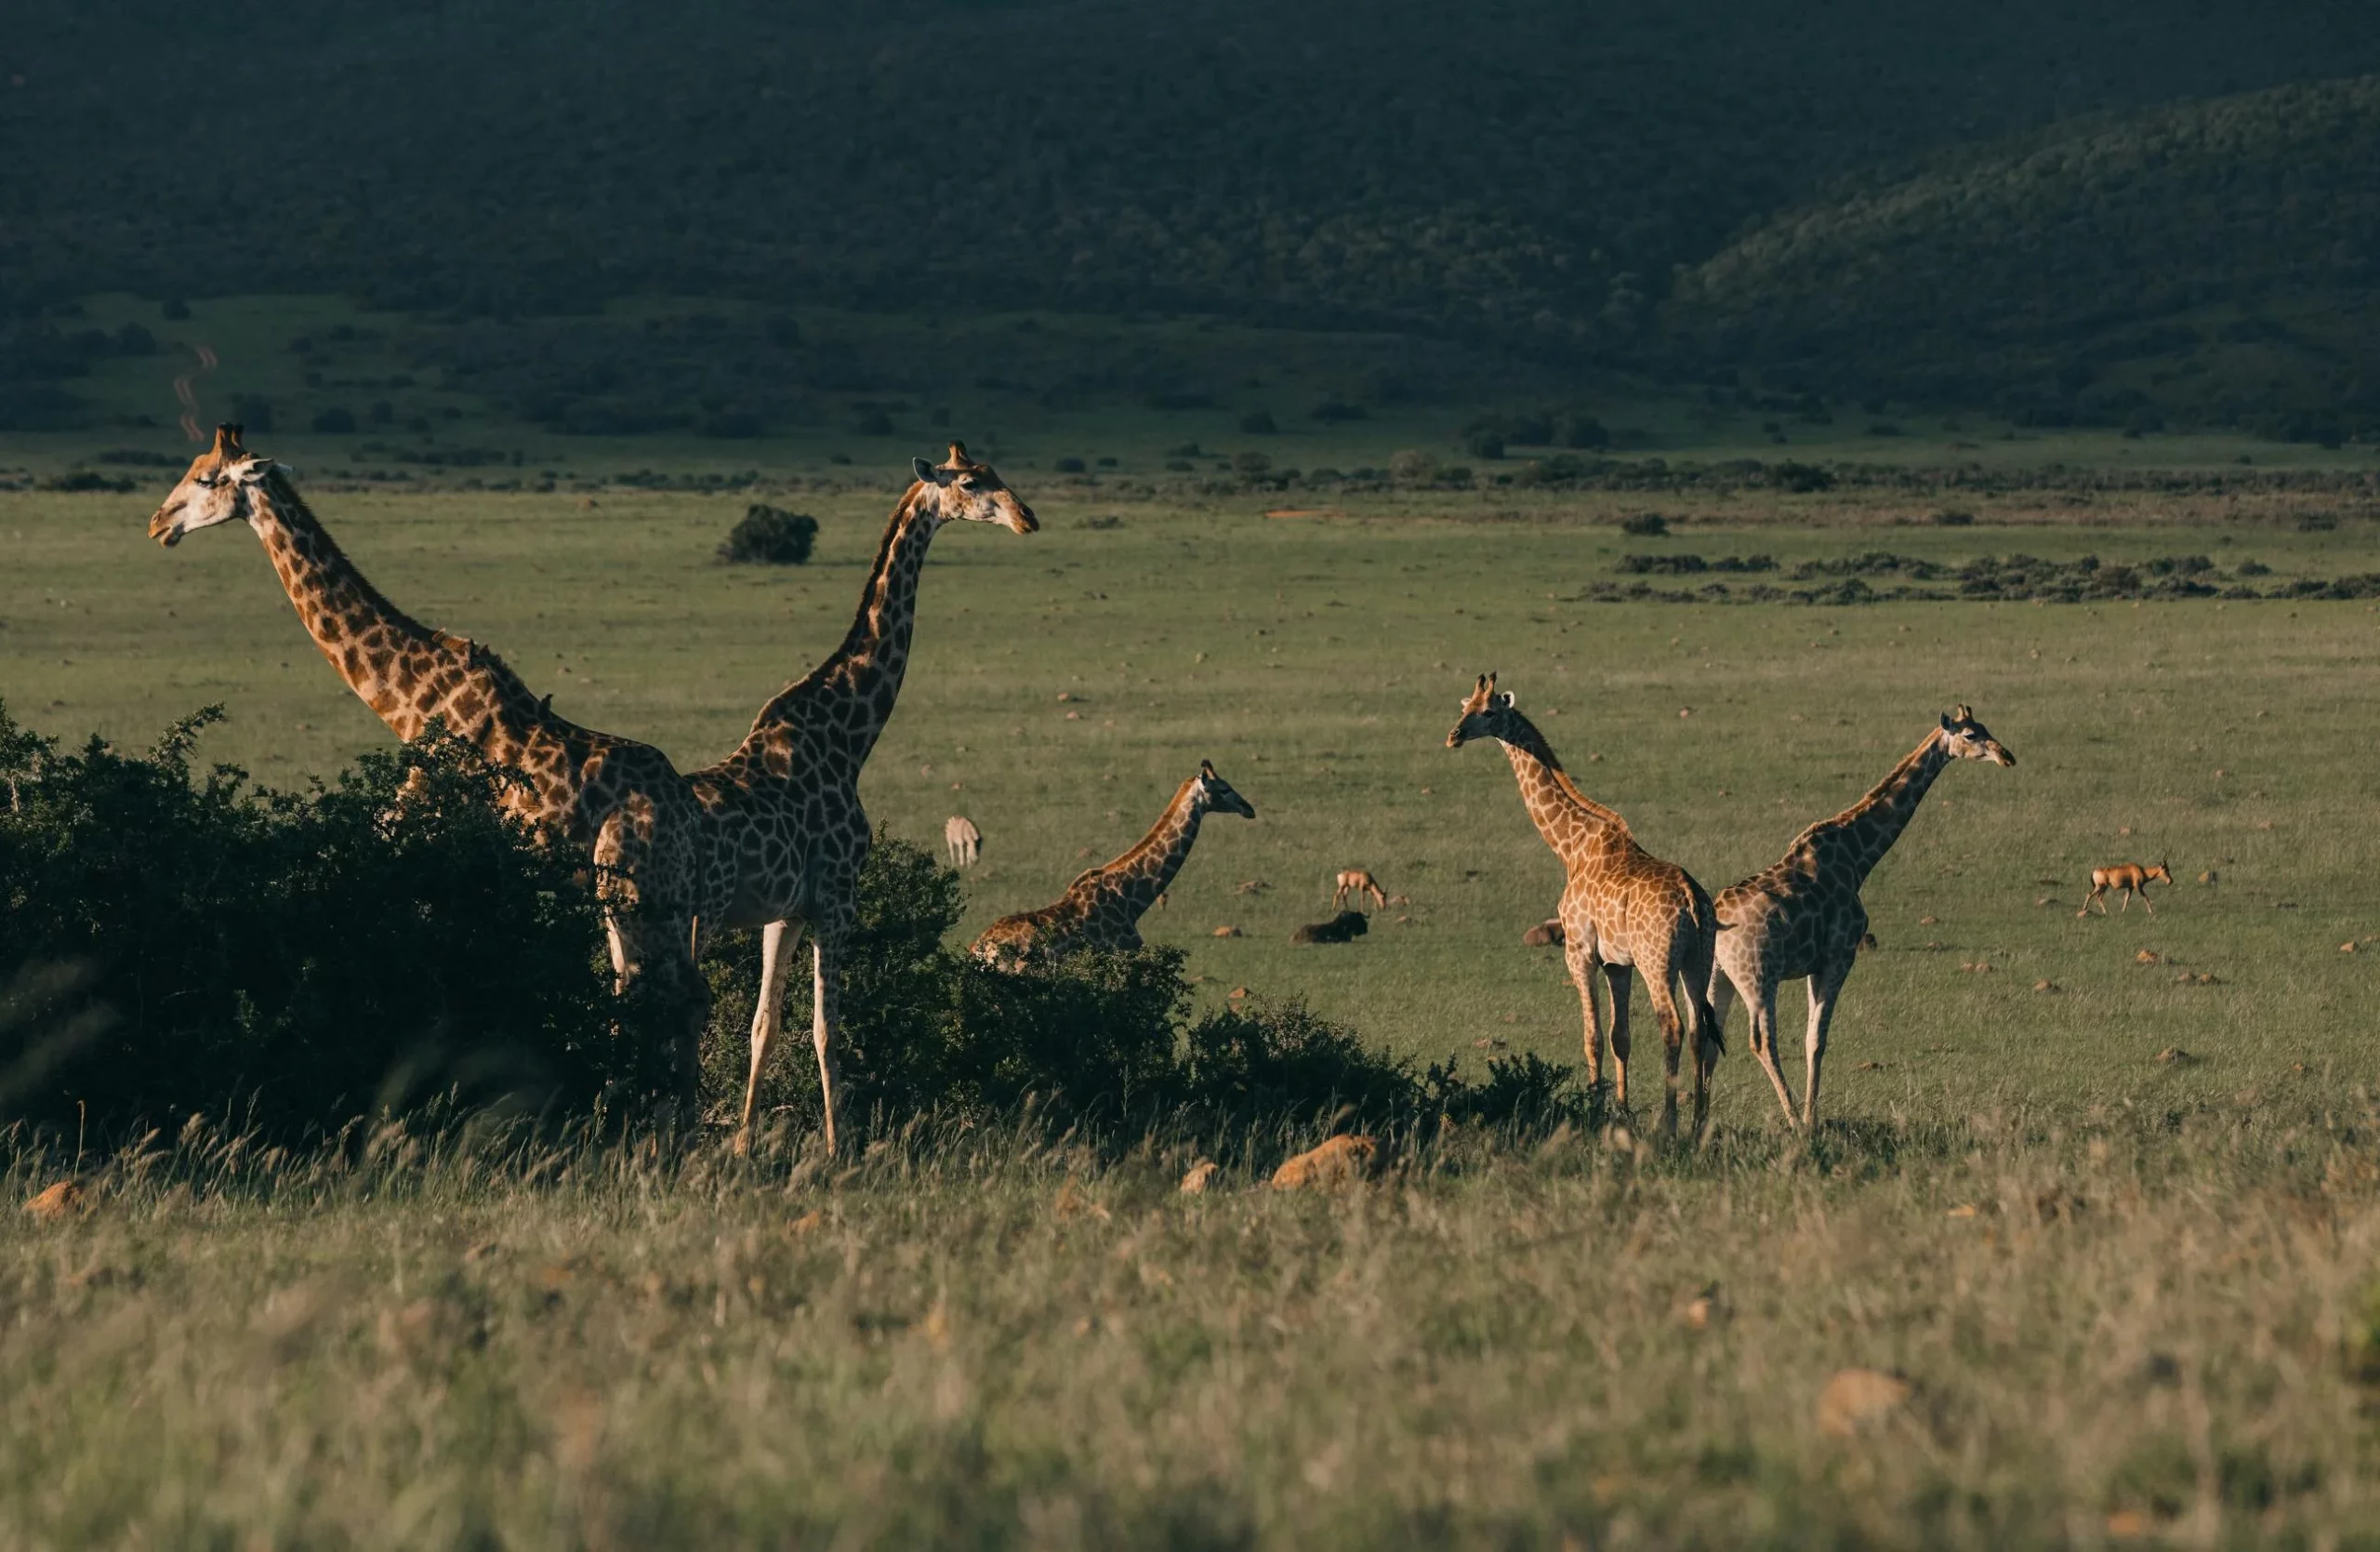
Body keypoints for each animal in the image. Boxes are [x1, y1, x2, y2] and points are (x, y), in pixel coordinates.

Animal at [150, 423, 719, 1104]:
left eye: (206, 478)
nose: (158, 522)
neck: (410, 705)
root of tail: (688, 814)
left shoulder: (418, 840)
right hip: (662, 894)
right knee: (676, 996)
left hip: (634, 886)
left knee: (654, 996)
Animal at [704, 443, 1042, 1157]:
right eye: (971, 483)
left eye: (997, 471)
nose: (1027, 517)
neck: (848, 737)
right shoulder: (838, 896)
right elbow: (826, 1029)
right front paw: (839, 1149)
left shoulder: (786, 912)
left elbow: (764, 1024)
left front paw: (744, 1145)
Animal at [1437, 670, 1723, 1133]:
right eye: (1466, 706)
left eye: (1490, 712)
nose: (1454, 736)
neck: (1569, 847)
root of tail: (1693, 903)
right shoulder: (1616, 963)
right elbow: (1620, 1037)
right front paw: (1621, 1110)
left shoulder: (1579, 952)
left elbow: (1592, 1038)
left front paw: (1594, 1109)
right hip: (1698, 958)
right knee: (1699, 1028)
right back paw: (1698, 1122)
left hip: (1657, 961)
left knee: (1672, 1025)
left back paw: (1669, 1123)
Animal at [1703, 704, 2017, 1128]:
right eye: (1970, 735)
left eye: (1986, 727)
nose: (2007, 756)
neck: (1858, 858)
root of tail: (1717, 916)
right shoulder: (1839, 955)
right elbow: (1816, 1040)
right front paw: (1812, 1119)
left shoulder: (1815, 964)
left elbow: (1812, 1037)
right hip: (1757, 973)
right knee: (1762, 1041)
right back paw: (1792, 1120)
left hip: (1717, 973)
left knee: (1707, 1037)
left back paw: (1698, 1118)